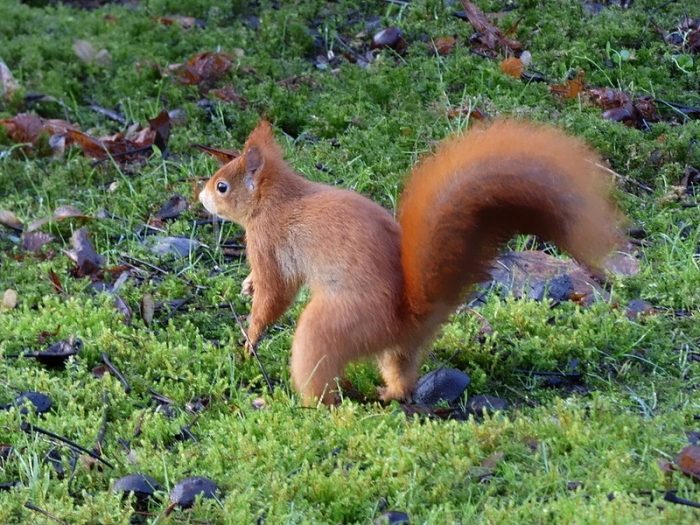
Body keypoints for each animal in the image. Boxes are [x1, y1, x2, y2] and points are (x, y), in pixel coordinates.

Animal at [199, 119, 623, 405]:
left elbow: (275, 294)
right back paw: (386, 393)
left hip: (330, 326)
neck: (276, 198)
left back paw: (309, 404)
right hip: (399, 348)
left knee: (321, 380)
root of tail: (407, 313)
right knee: (403, 378)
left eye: (222, 186)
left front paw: (248, 340)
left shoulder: (268, 242)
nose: (199, 197)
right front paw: (247, 286)